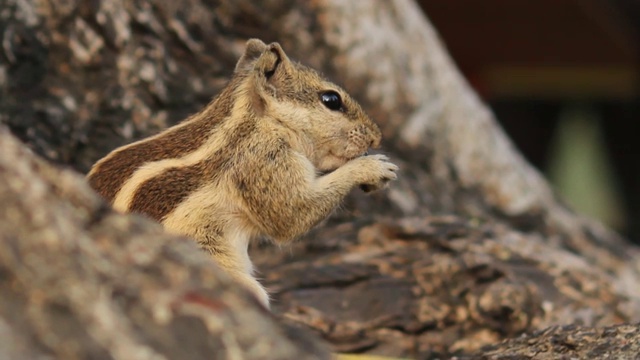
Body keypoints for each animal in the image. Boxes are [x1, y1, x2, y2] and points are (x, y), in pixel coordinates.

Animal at [87, 40, 398, 310]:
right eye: (331, 99)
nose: (376, 137)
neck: (255, 120)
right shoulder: (262, 164)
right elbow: (290, 216)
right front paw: (372, 167)